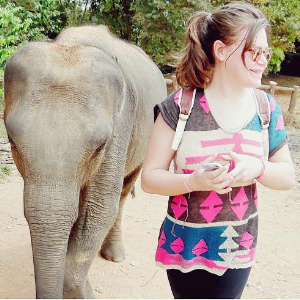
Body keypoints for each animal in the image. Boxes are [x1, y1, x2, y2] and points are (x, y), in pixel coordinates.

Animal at [3, 25, 168, 298]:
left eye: (99, 147)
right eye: (11, 142)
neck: (71, 45)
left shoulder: (120, 127)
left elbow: (99, 208)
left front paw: (83, 292)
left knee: (123, 193)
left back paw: (115, 255)